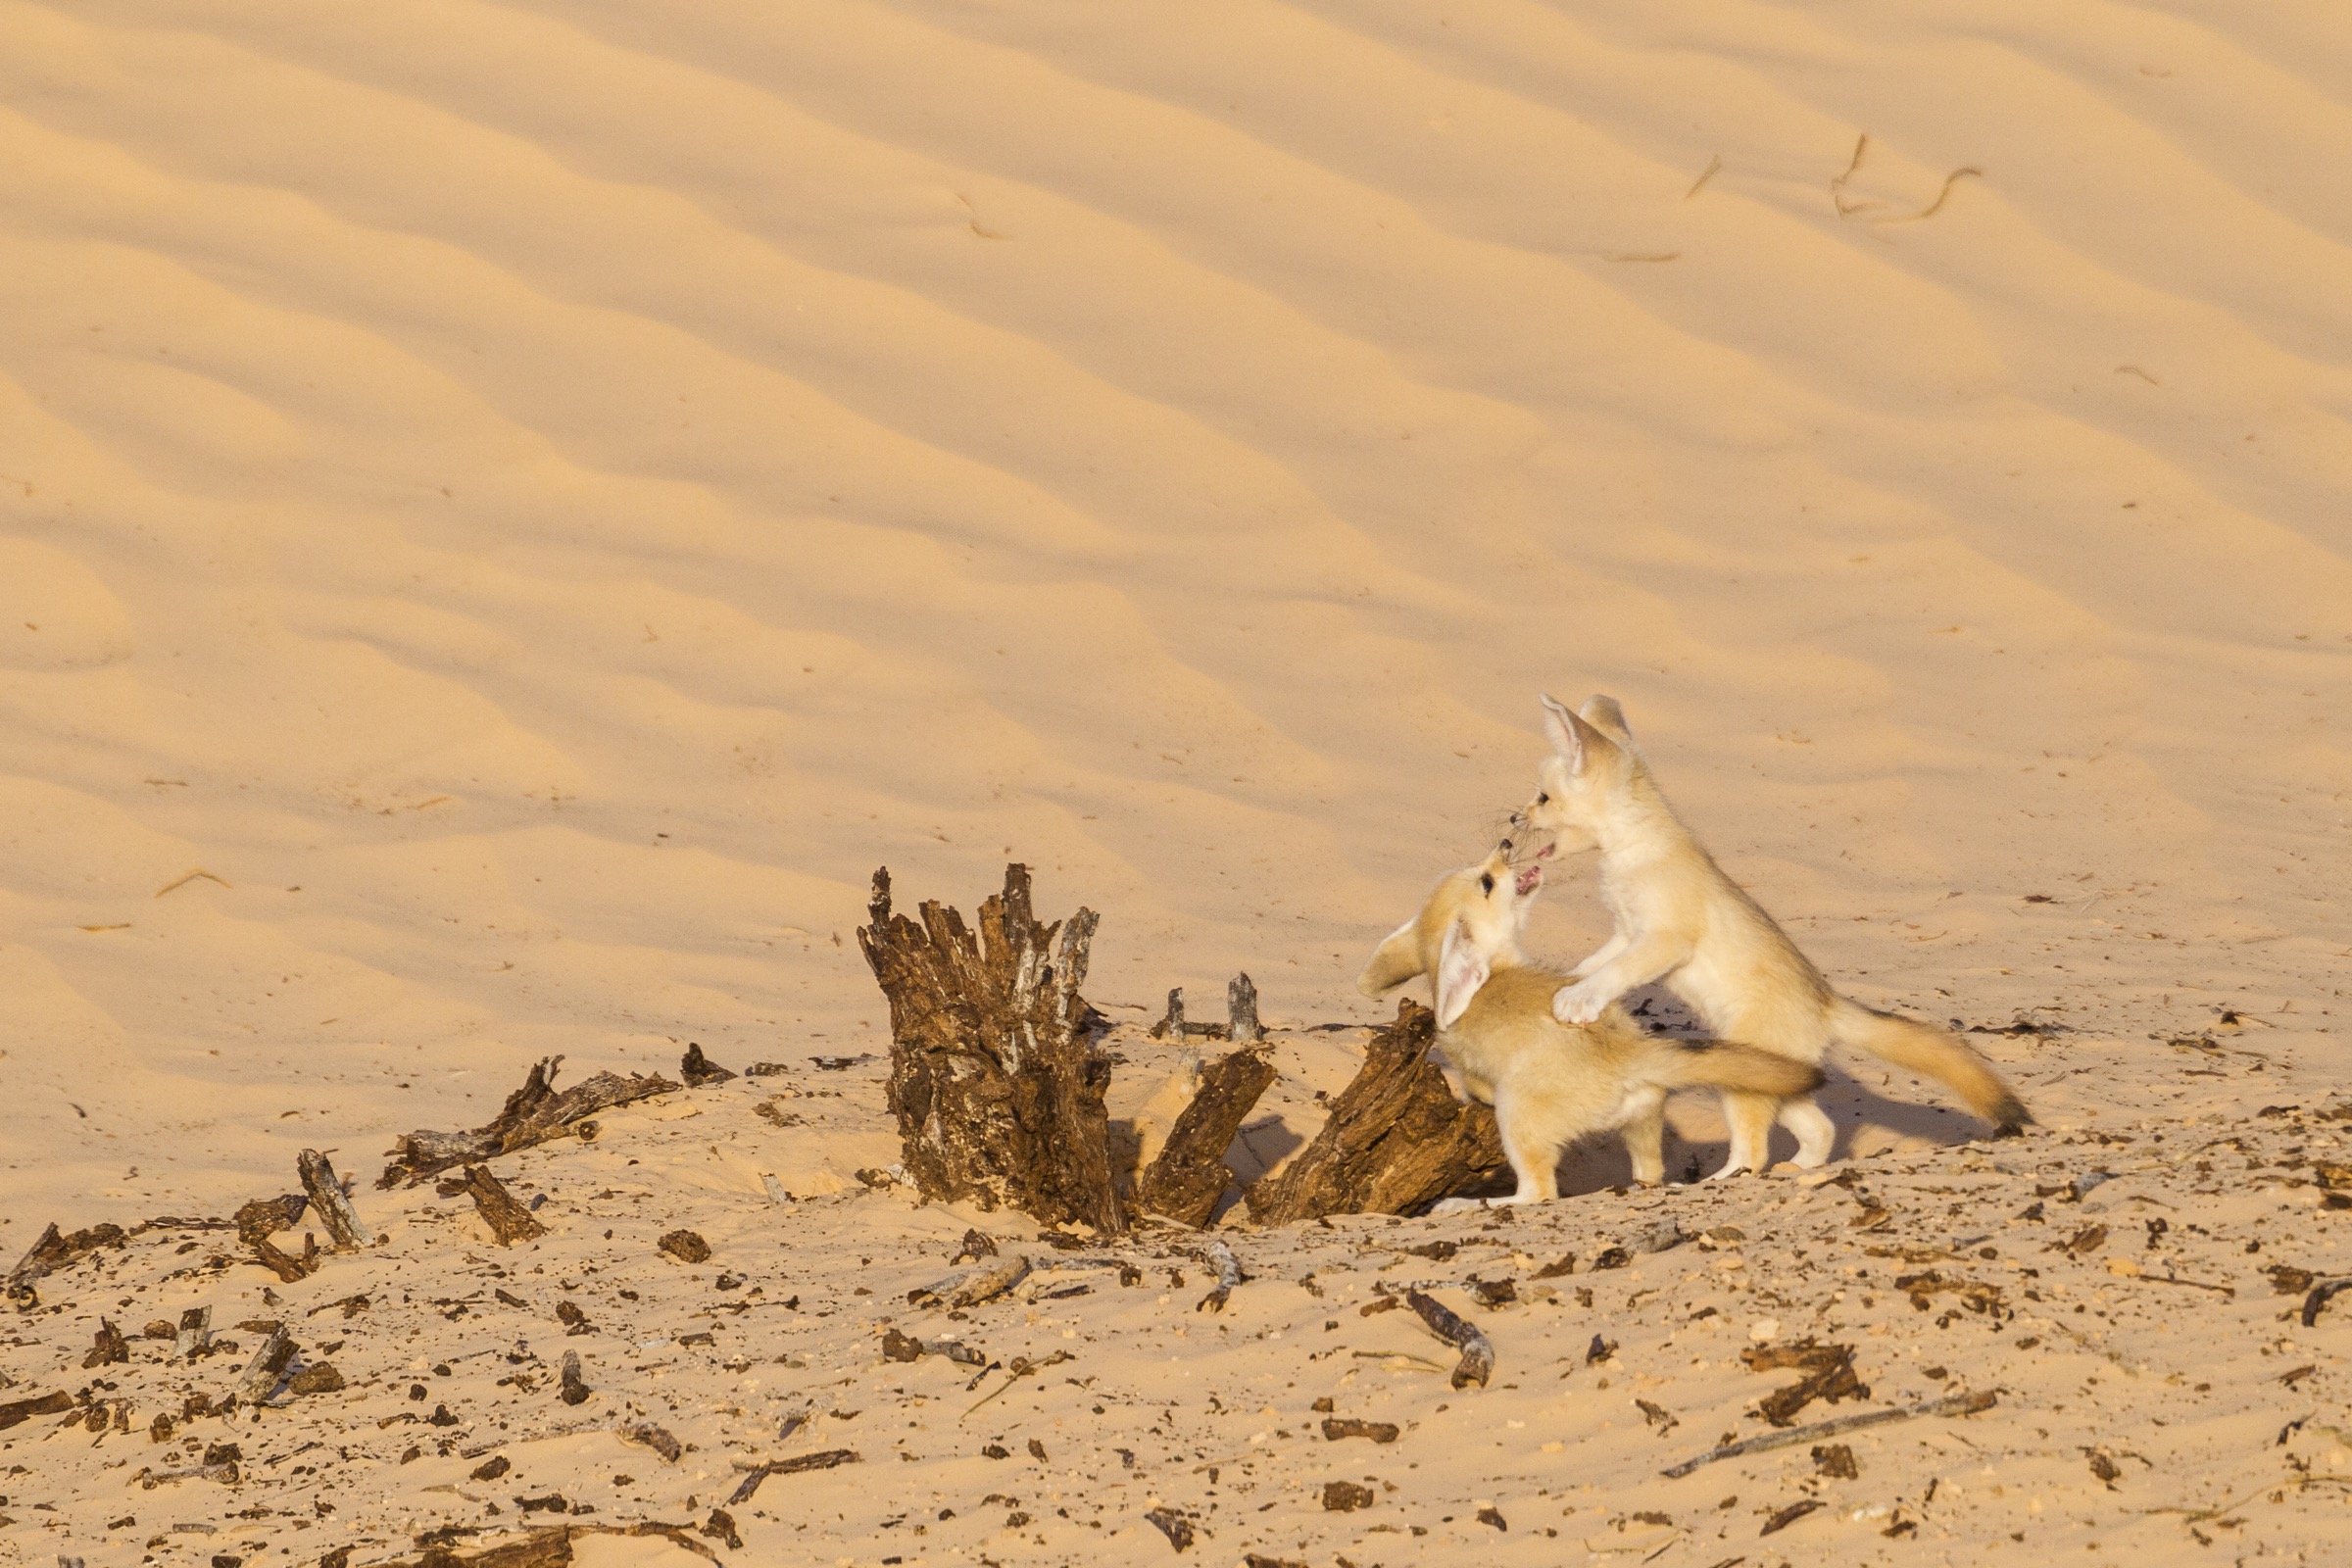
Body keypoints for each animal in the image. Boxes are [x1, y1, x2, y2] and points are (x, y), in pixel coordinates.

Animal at [1357, 844, 1826, 1206]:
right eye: (1486, 883)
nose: (1506, 843)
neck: (1494, 970)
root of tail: (1627, 1054)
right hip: (1640, 1121)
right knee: (1643, 1175)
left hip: (1516, 1115)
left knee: (1541, 1193)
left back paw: (1467, 1205)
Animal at [1510, 693, 2030, 1177]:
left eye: (1542, 798)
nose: (1514, 819)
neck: (1637, 849)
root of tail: (1826, 1003)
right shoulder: (1624, 931)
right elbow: (1593, 965)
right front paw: (1565, 984)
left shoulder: (1664, 938)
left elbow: (1613, 974)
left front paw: (1576, 1000)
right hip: (1785, 1081)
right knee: (1821, 1130)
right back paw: (1799, 1170)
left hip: (1745, 1084)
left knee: (1754, 1153)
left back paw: (1718, 1181)